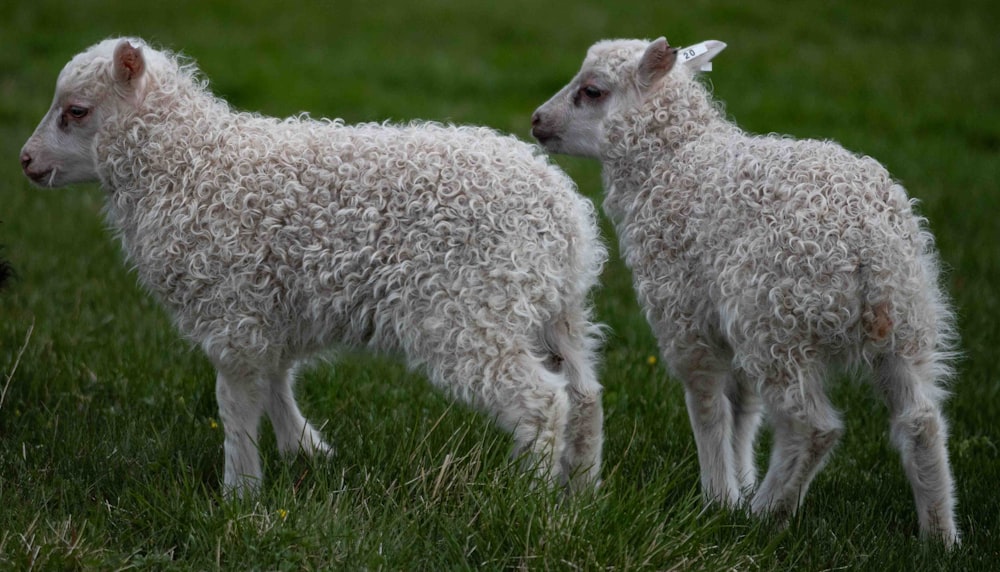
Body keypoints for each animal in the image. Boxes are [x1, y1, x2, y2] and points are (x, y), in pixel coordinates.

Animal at [19, 39, 604, 496]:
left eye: (76, 111)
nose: (25, 160)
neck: (188, 166)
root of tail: (566, 216)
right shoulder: (267, 308)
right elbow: (275, 381)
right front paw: (306, 451)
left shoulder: (231, 311)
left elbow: (235, 405)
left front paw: (240, 493)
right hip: (554, 311)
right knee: (585, 397)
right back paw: (578, 493)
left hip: (469, 309)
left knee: (540, 401)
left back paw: (525, 496)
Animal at [532, 36, 960, 544]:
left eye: (592, 91)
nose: (537, 120)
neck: (671, 161)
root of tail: (866, 238)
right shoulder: (723, 320)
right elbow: (742, 407)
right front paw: (739, 482)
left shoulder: (683, 314)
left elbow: (708, 406)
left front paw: (719, 498)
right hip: (906, 314)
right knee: (921, 420)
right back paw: (939, 536)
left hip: (778, 317)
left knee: (811, 427)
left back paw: (765, 515)